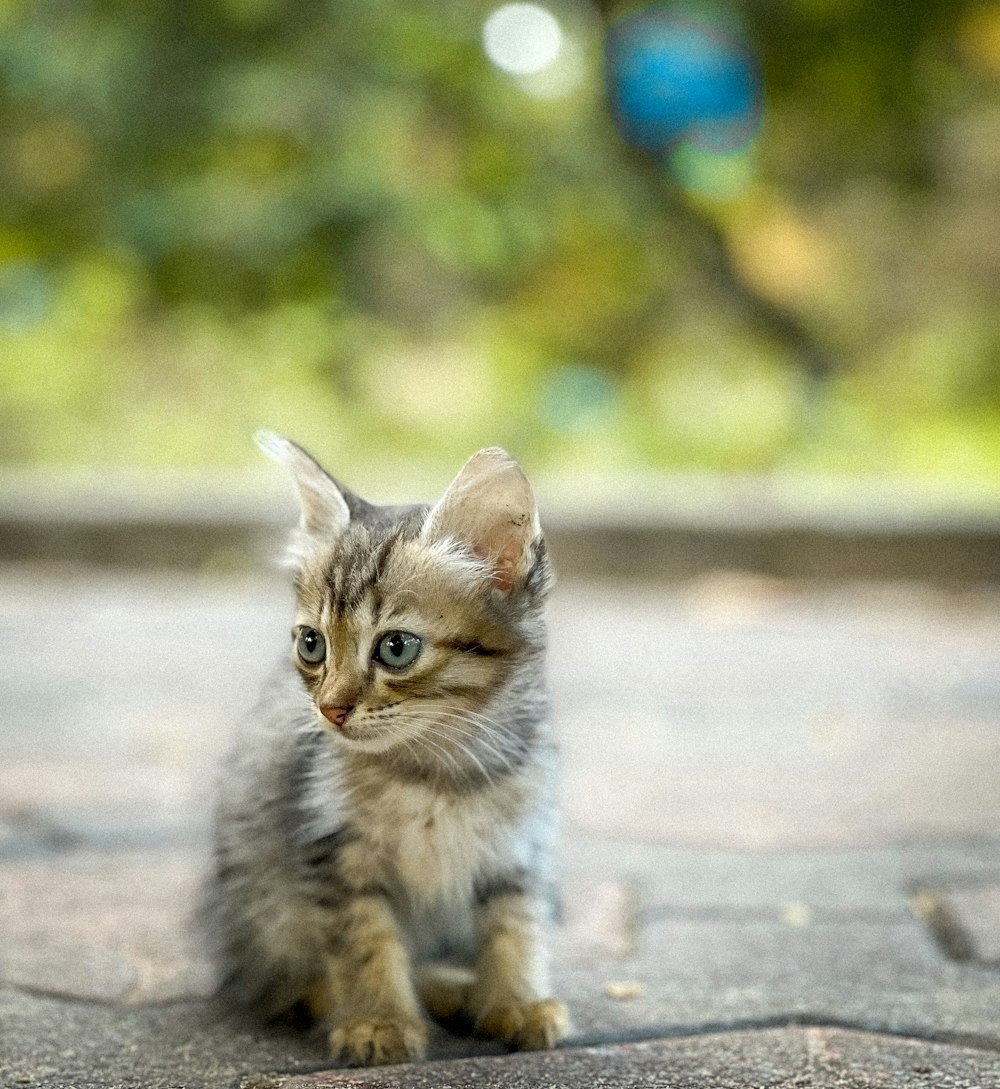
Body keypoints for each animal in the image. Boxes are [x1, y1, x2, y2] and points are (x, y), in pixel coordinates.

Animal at [201, 431, 570, 1062]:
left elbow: (515, 924)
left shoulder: (518, 847)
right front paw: (379, 1021)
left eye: (396, 648)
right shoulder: (333, 853)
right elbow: (365, 942)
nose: (331, 709)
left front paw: (518, 1002)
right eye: (311, 644)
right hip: (257, 903)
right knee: (280, 983)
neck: (435, 771)